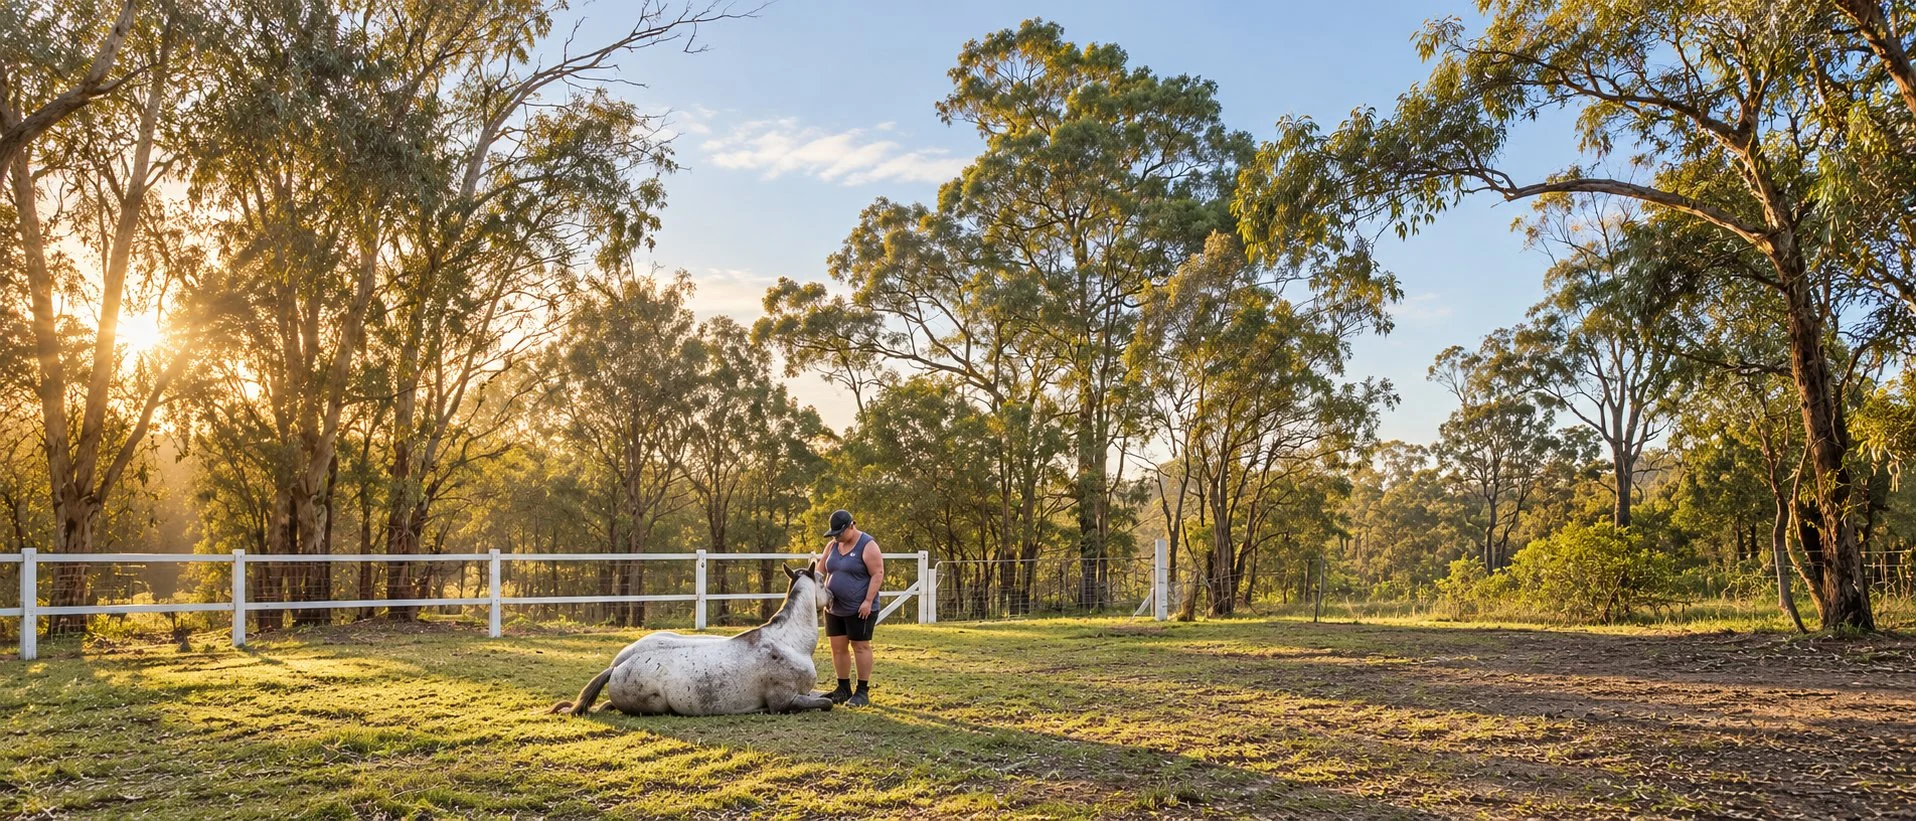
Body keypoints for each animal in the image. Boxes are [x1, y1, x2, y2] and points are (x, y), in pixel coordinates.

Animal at [550, 566, 838, 716]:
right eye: (822, 580)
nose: (833, 596)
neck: (789, 641)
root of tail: (615, 668)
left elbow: (823, 694)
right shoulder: (784, 701)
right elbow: (826, 702)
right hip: (656, 705)